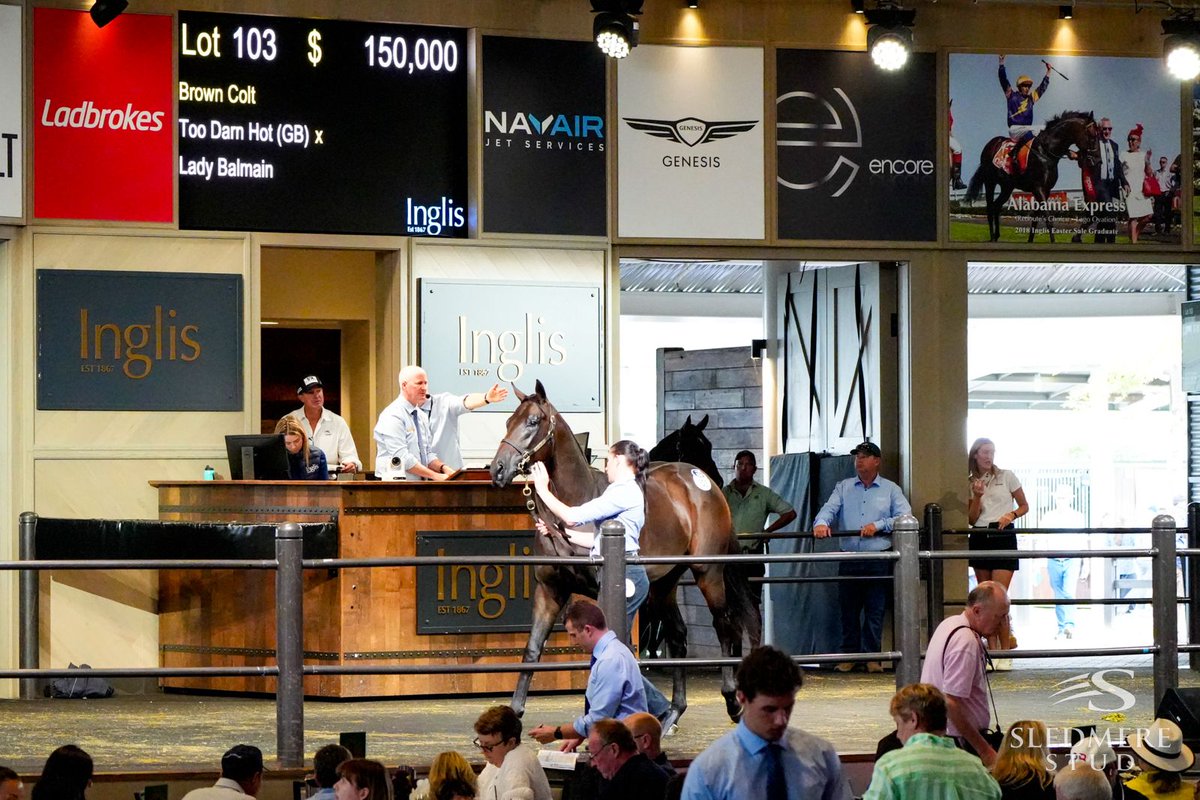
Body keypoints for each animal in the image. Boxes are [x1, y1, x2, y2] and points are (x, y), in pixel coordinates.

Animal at [492, 381, 763, 724]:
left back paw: (731, 700)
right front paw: (513, 713)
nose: (497, 470)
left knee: (725, 625)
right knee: (678, 634)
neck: (578, 501)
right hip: (664, 584)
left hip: (708, 573)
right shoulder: (549, 590)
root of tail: (707, 488)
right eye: (507, 421)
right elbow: (532, 649)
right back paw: (672, 714)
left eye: (533, 421)